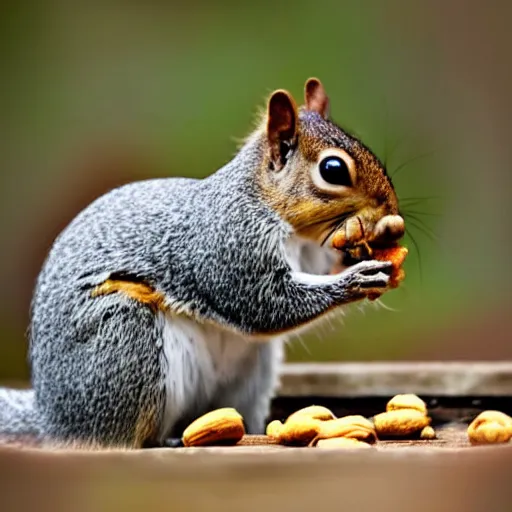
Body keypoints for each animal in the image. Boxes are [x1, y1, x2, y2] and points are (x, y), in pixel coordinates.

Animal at [0, 77, 406, 448]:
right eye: (333, 169)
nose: (392, 213)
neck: (287, 224)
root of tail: (53, 416)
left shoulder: (310, 255)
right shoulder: (229, 246)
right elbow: (265, 304)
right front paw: (356, 279)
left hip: (248, 376)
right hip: (125, 340)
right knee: (116, 435)